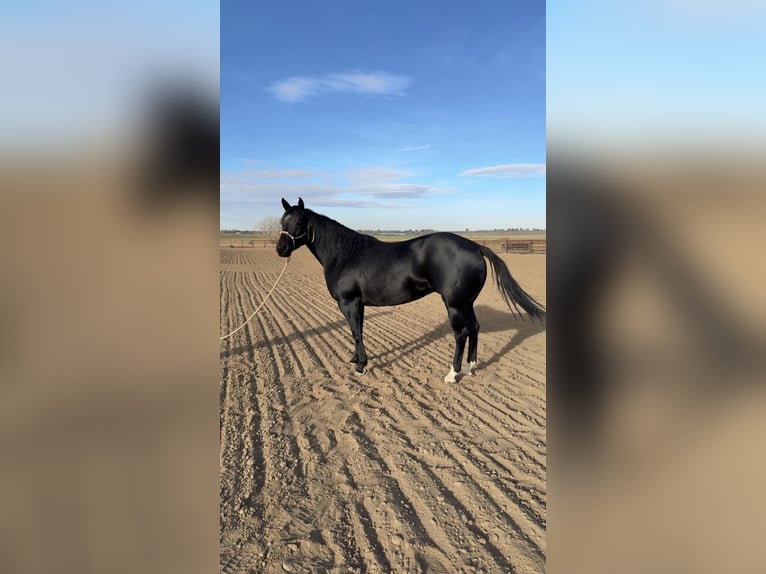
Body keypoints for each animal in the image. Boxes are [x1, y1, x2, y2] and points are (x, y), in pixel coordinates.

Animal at [276, 197, 545, 383]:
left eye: (299, 222)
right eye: (282, 222)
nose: (281, 249)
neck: (345, 254)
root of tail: (475, 247)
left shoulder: (349, 302)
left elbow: (356, 333)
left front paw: (361, 367)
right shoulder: (358, 304)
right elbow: (357, 332)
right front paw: (355, 359)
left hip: (455, 305)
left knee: (460, 334)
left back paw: (452, 374)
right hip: (466, 303)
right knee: (475, 328)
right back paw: (470, 368)